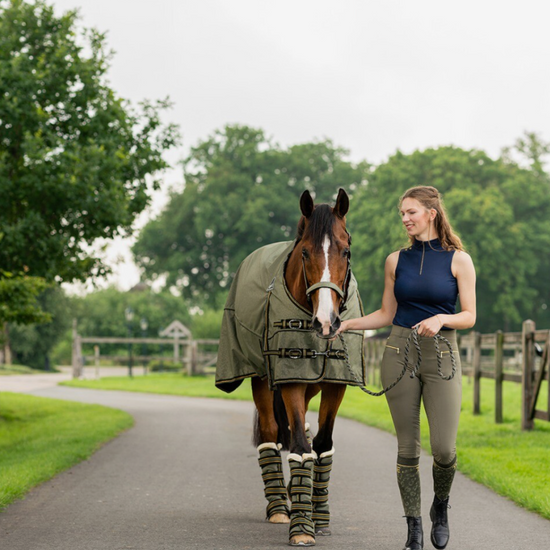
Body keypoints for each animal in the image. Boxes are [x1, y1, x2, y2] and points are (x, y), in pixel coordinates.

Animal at [217, 189, 366, 548]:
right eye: (306, 252)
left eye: (346, 250)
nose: (327, 322)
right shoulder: (290, 380)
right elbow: (298, 444)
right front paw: (301, 527)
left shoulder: (334, 384)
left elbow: (322, 443)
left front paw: (319, 516)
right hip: (263, 380)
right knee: (272, 434)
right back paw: (279, 507)